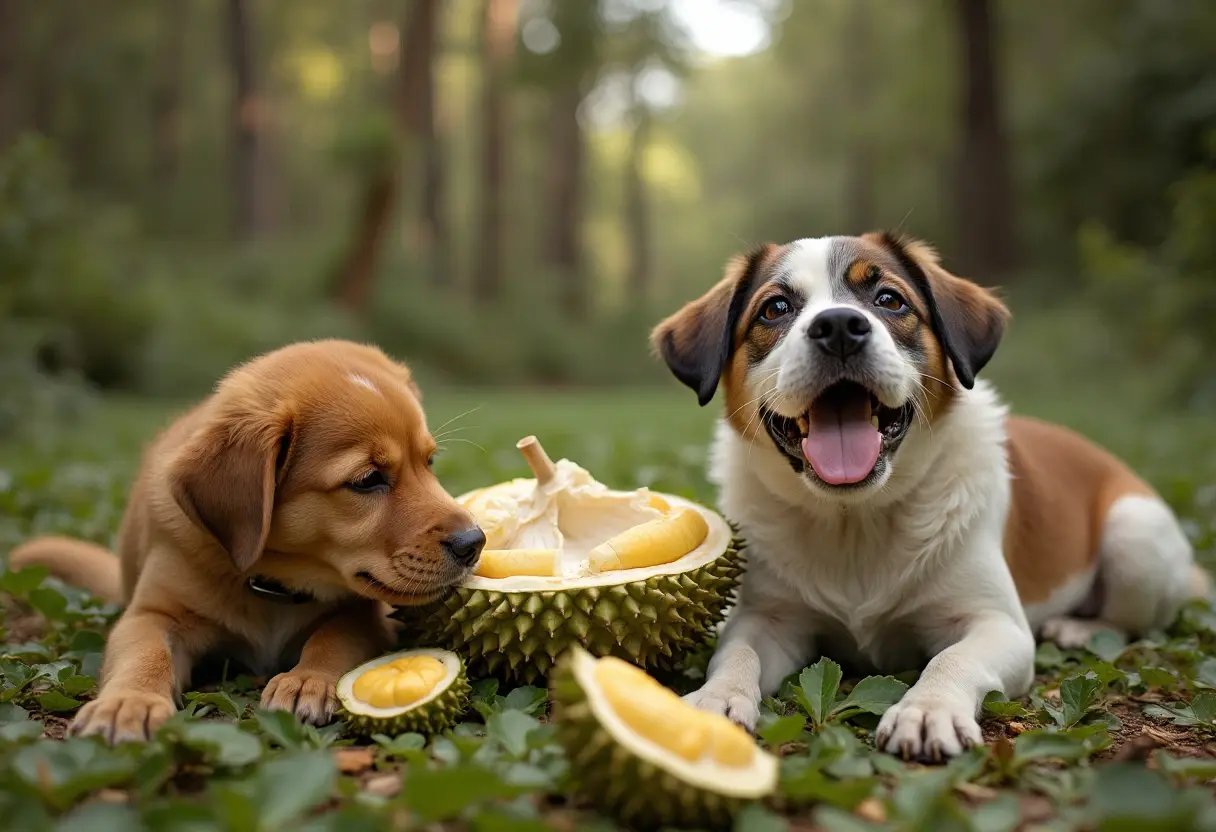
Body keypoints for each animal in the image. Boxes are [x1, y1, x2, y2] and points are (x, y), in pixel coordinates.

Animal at [10, 340, 483, 744]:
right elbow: (144, 654)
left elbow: (335, 635)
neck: (273, 586)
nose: (474, 542)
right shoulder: (153, 613)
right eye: (368, 480)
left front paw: (307, 680)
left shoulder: (365, 612)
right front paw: (129, 702)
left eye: (429, 462)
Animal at [651, 232, 1201, 759]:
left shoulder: (998, 625)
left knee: (1129, 620)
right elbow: (735, 653)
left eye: (890, 299)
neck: (855, 518)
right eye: (775, 308)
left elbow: (952, 657)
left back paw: (1080, 628)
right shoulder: (768, 618)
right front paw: (713, 699)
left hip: (1136, 535)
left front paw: (927, 709)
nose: (839, 326)